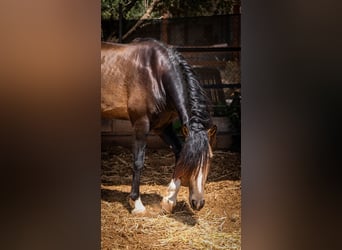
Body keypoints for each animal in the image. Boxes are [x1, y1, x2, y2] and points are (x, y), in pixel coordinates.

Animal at [100, 38, 216, 214]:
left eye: (209, 157)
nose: (198, 203)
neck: (156, 73)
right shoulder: (141, 124)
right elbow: (138, 161)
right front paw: (137, 203)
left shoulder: (163, 127)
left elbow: (179, 152)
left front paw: (169, 200)